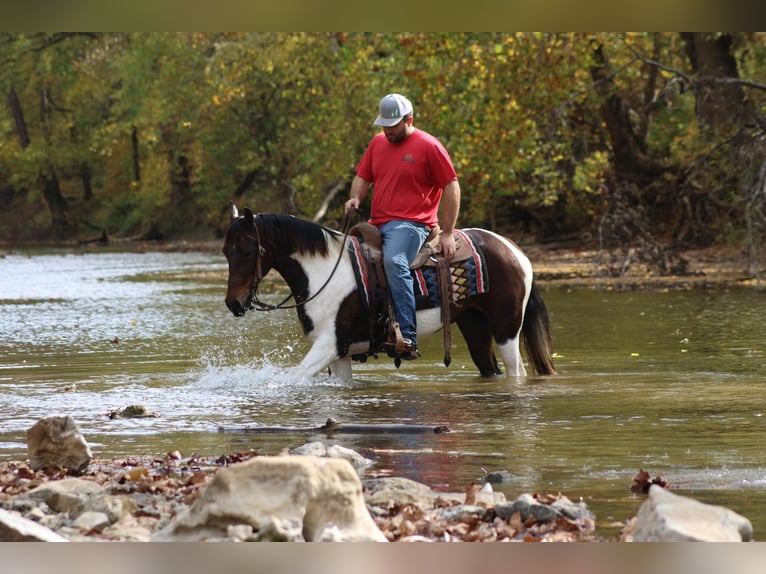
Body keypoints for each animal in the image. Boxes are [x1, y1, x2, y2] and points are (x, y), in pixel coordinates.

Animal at [224, 205, 560, 384]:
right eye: (226, 252)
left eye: (247, 250)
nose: (233, 303)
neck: (323, 272)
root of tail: (514, 250)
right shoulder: (339, 352)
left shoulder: (327, 345)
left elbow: (294, 376)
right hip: (475, 327)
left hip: (506, 330)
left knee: (516, 372)